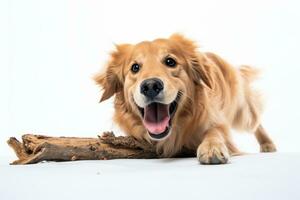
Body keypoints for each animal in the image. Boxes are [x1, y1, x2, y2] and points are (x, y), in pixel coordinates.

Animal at [94, 34, 276, 164]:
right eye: (135, 67)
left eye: (170, 61)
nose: (151, 86)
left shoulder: (217, 120)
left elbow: (215, 131)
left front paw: (212, 147)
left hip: (242, 112)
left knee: (256, 120)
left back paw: (267, 144)